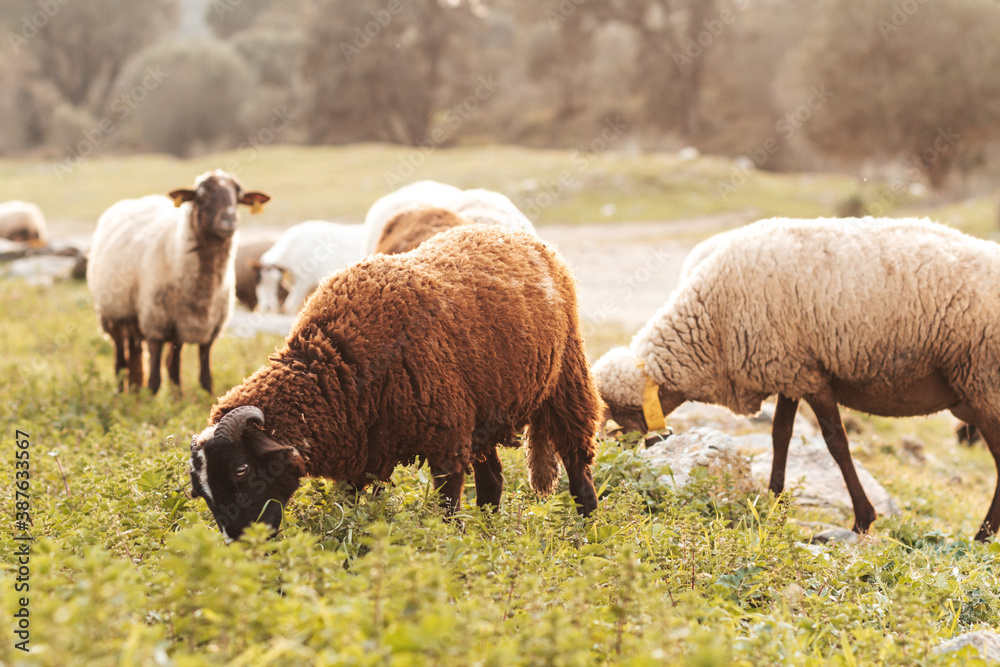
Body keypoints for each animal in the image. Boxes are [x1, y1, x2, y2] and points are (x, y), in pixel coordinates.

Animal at [87, 170, 270, 394]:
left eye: (239, 196)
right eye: (201, 197)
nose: (229, 219)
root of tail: (135, 200)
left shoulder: (208, 333)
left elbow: (205, 380)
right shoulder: (155, 327)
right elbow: (154, 382)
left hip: (158, 327)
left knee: (156, 364)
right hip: (113, 316)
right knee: (120, 363)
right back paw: (122, 393)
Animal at [189, 225, 602, 540]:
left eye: (241, 469)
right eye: (201, 490)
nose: (240, 544)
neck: (339, 363)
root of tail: (517, 234)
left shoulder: (446, 441)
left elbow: (448, 506)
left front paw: (448, 545)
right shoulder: (363, 453)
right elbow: (349, 506)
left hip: (568, 380)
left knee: (577, 464)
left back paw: (589, 532)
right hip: (484, 413)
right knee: (493, 482)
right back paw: (487, 535)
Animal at [593, 216, 1000, 541]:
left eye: (620, 412)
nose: (623, 461)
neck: (711, 330)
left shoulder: (811, 376)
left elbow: (836, 444)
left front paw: (863, 520)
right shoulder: (788, 369)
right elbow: (780, 436)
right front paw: (772, 501)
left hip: (983, 379)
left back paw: (983, 535)